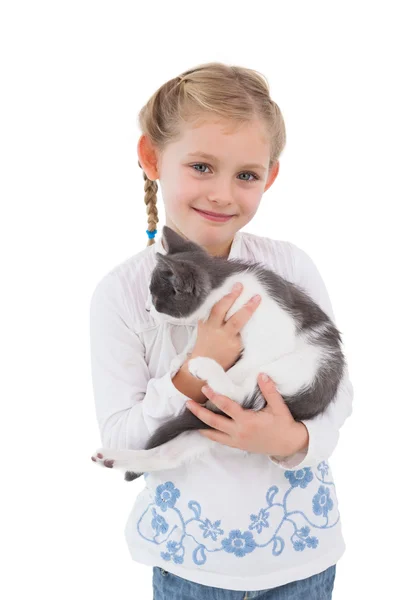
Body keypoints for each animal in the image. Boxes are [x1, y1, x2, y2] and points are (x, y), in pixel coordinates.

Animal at [90, 226, 344, 482]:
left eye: (155, 296)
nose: (146, 308)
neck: (222, 287)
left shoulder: (274, 337)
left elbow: (244, 366)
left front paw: (201, 366)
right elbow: (196, 337)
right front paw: (180, 359)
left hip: (301, 369)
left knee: (240, 397)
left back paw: (208, 372)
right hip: (207, 429)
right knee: (167, 456)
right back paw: (112, 458)